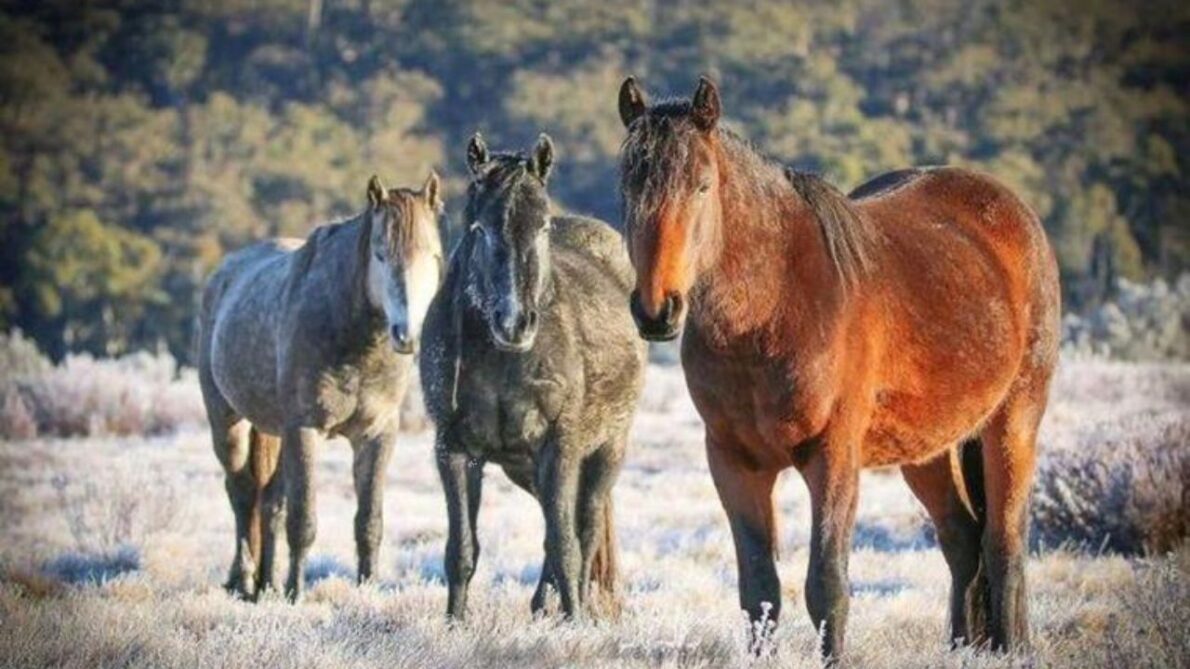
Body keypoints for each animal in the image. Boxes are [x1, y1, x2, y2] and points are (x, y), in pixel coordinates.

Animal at [197, 171, 445, 599]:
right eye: (380, 254)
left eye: (432, 256)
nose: (408, 334)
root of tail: (222, 276)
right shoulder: (305, 430)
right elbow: (303, 521)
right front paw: (296, 594)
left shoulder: (377, 435)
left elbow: (368, 522)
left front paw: (367, 591)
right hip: (228, 425)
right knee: (242, 494)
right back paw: (245, 580)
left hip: (274, 432)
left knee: (268, 502)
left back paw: (265, 585)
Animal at [421, 135, 647, 619]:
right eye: (479, 229)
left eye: (542, 227)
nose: (515, 323)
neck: (502, 360)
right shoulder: (453, 448)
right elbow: (461, 549)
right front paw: (454, 622)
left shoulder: (559, 445)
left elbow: (566, 543)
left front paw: (575, 621)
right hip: (523, 467)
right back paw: (543, 605)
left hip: (606, 451)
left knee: (585, 526)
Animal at [618, 76, 1056, 657]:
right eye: (627, 189)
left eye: (702, 187)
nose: (656, 310)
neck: (775, 307)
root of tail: (1012, 212)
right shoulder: (734, 463)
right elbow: (759, 590)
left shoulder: (832, 459)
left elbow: (826, 586)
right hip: (927, 450)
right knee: (963, 541)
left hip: (1013, 422)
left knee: (1003, 543)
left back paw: (1010, 646)